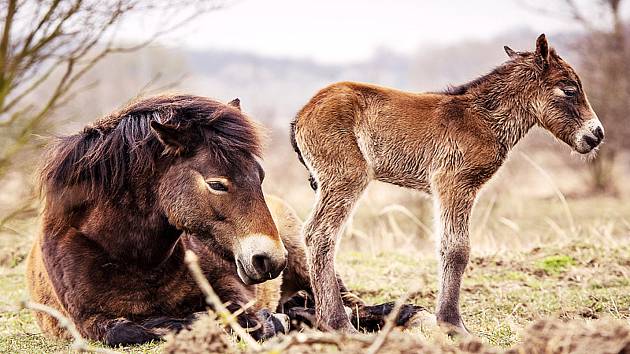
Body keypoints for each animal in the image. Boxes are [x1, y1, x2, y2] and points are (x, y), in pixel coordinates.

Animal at [27, 94, 428, 346]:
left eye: (260, 176)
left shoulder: (232, 291)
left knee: (349, 305)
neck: (132, 259)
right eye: (216, 183)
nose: (269, 260)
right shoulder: (88, 322)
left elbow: (246, 320)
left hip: (306, 258)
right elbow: (127, 332)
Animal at [292, 34, 608, 334]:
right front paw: (452, 325)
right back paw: (338, 323)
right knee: (319, 234)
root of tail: (303, 113)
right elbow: (456, 249)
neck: (483, 119)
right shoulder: (454, 183)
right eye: (569, 90)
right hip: (346, 178)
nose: (597, 135)